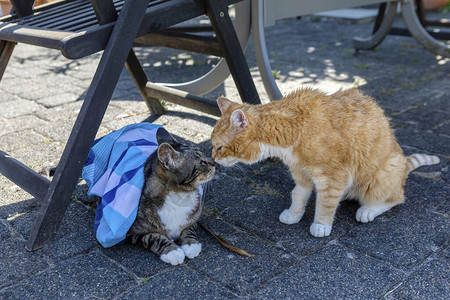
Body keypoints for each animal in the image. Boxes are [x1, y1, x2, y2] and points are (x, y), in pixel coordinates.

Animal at [125, 127, 215, 264]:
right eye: (202, 162)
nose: (214, 162)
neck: (180, 196)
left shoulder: (193, 219)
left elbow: (189, 228)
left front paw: (191, 244)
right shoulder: (132, 233)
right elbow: (153, 237)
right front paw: (172, 251)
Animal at [211, 88, 440, 238]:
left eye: (219, 147)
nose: (213, 160)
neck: (293, 130)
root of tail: (404, 166)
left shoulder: (332, 177)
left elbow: (326, 204)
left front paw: (321, 225)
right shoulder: (301, 174)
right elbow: (298, 195)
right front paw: (294, 214)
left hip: (380, 177)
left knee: (394, 198)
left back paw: (367, 210)